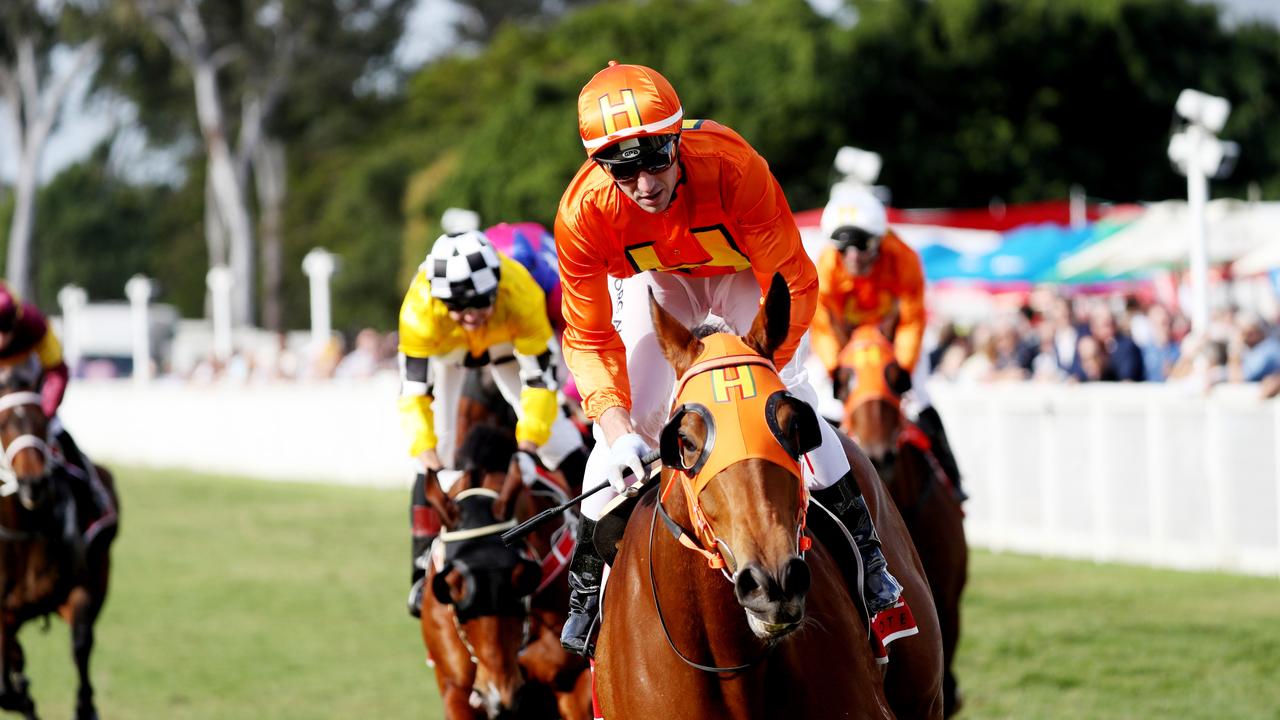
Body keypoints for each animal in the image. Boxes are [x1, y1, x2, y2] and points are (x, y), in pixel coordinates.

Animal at [0, 366, 118, 712]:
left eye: (41, 420)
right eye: (2, 424)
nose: (32, 483)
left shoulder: (79, 587)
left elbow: (81, 643)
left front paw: (85, 705)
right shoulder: (3, 612)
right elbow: (6, 677)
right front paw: (20, 692)